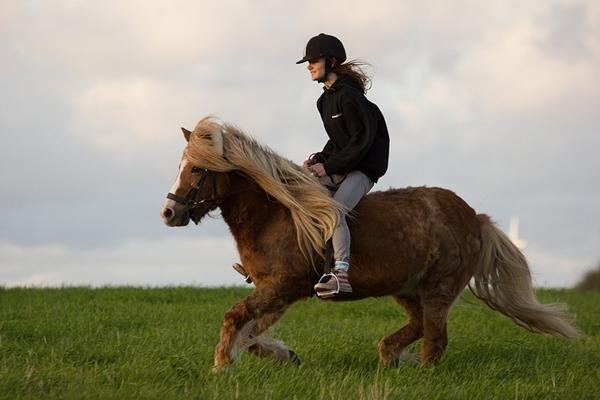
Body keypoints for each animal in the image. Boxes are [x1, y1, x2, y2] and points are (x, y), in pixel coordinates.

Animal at [161, 116, 580, 372]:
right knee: (419, 327)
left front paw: (220, 366)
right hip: (407, 288)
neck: (275, 212)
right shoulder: (275, 291)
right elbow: (250, 334)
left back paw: (415, 369)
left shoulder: (283, 287)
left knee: (435, 339)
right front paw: (285, 355)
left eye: (196, 168)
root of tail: (475, 217)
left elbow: (234, 319)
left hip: (439, 289)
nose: (168, 212)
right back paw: (391, 356)